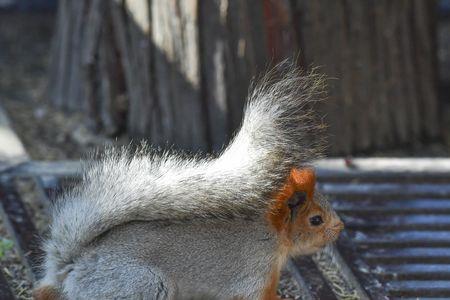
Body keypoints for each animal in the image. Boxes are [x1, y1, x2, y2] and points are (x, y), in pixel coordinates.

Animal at [34, 62, 344, 298]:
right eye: (315, 220)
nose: (340, 227)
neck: (273, 232)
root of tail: (72, 270)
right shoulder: (255, 273)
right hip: (144, 285)